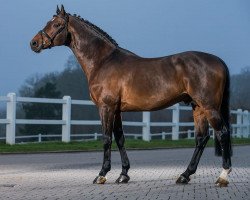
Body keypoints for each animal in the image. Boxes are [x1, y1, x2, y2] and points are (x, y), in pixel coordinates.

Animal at [30, 5, 232, 187]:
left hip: (209, 107)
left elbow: (106, 138)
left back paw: (222, 176)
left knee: (222, 133)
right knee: (201, 138)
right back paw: (184, 175)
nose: (34, 43)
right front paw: (123, 175)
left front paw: (101, 175)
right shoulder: (117, 110)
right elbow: (120, 139)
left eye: (57, 24)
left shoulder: (106, 107)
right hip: (197, 107)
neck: (103, 61)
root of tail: (219, 61)